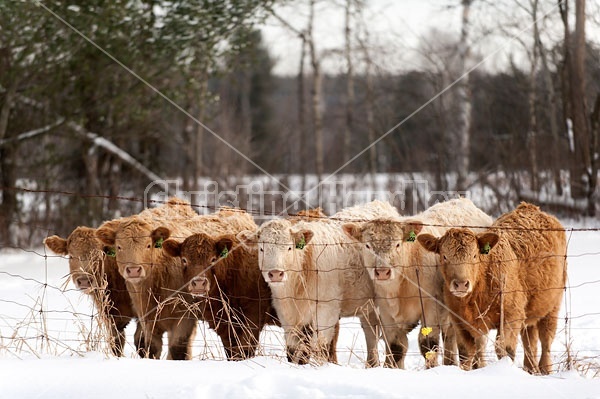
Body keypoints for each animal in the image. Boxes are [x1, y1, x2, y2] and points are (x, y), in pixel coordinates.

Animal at [342, 198, 492, 370]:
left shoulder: (431, 306)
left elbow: (428, 344)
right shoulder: (385, 312)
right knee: (451, 334)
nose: (382, 272)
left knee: (478, 339)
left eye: (398, 245)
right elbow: (396, 347)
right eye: (367, 246)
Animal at [418, 203, 568, 376]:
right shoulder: (459, 320)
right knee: (530, 341)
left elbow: (504, 349)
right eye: (444, 256)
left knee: (546, 340)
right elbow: (466, 352)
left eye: (474, 256)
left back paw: (545, 370)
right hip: (531, 312)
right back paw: (531, 369)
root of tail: (529, 207)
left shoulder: (511, 315)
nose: (461, 284)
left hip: (553, 305)